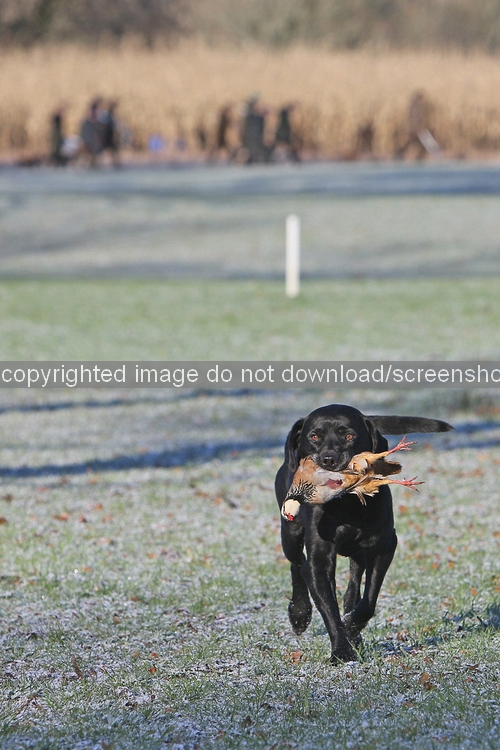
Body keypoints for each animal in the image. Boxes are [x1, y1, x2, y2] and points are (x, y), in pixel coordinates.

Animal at [275, 404, 453, 663]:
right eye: (314, 436)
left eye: (349, 435)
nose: (329, 459)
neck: (346, 505)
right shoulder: (319, 561)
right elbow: (329, 609)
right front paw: (341, 650)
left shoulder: (384, 546)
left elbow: (369, 599)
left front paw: (352, 627)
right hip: (290, 531)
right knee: (297, 565)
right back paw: (299, 613)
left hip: (357, 550)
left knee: (353, 582)